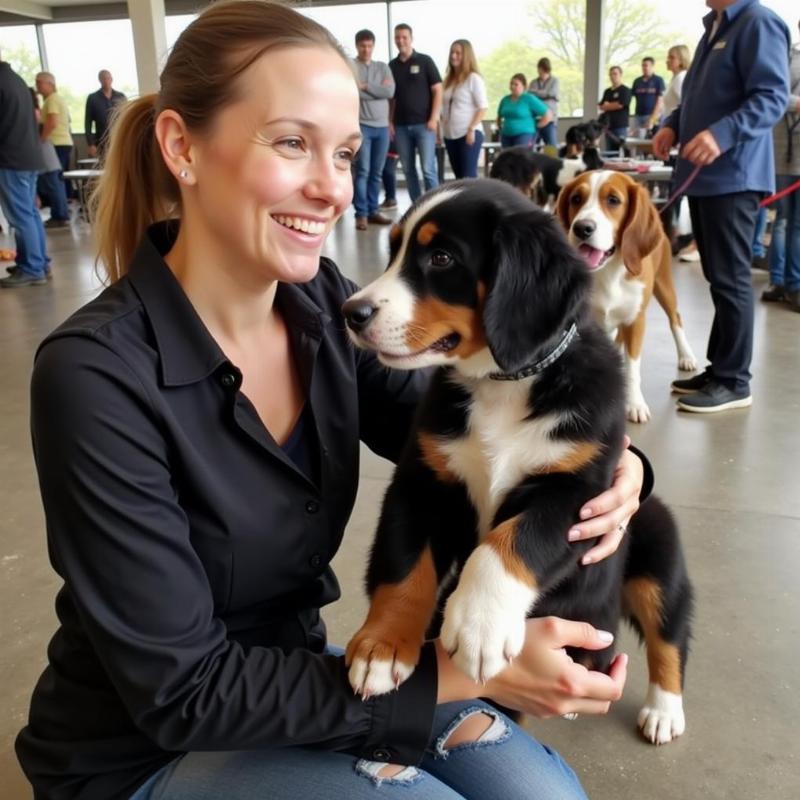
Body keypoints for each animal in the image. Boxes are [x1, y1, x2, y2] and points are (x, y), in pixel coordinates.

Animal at [556, 171, 692, 422]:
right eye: (576, 199)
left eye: (613, 200)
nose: (582, 228)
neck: (608, 271)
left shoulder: (636, 321)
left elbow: (632, 368)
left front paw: (634, 403)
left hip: (664, 285)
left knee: (675, 318)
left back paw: (686, 355)